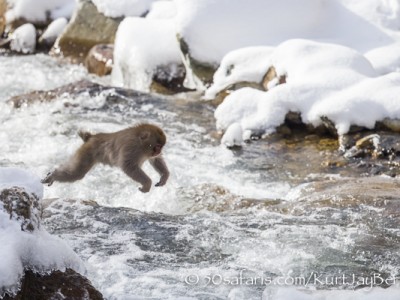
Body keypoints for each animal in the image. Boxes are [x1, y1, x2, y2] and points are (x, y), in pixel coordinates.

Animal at [41, 123, 170, 192]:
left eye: (161, 147)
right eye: (157, 146)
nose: (159, 151)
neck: (140, 143)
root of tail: (91, 137)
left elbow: (155, 160)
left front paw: (164, 177)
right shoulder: (131, 148)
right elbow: (128, 166)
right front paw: (147, 183)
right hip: (87, 152)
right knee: (76, 173)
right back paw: (53, 175)